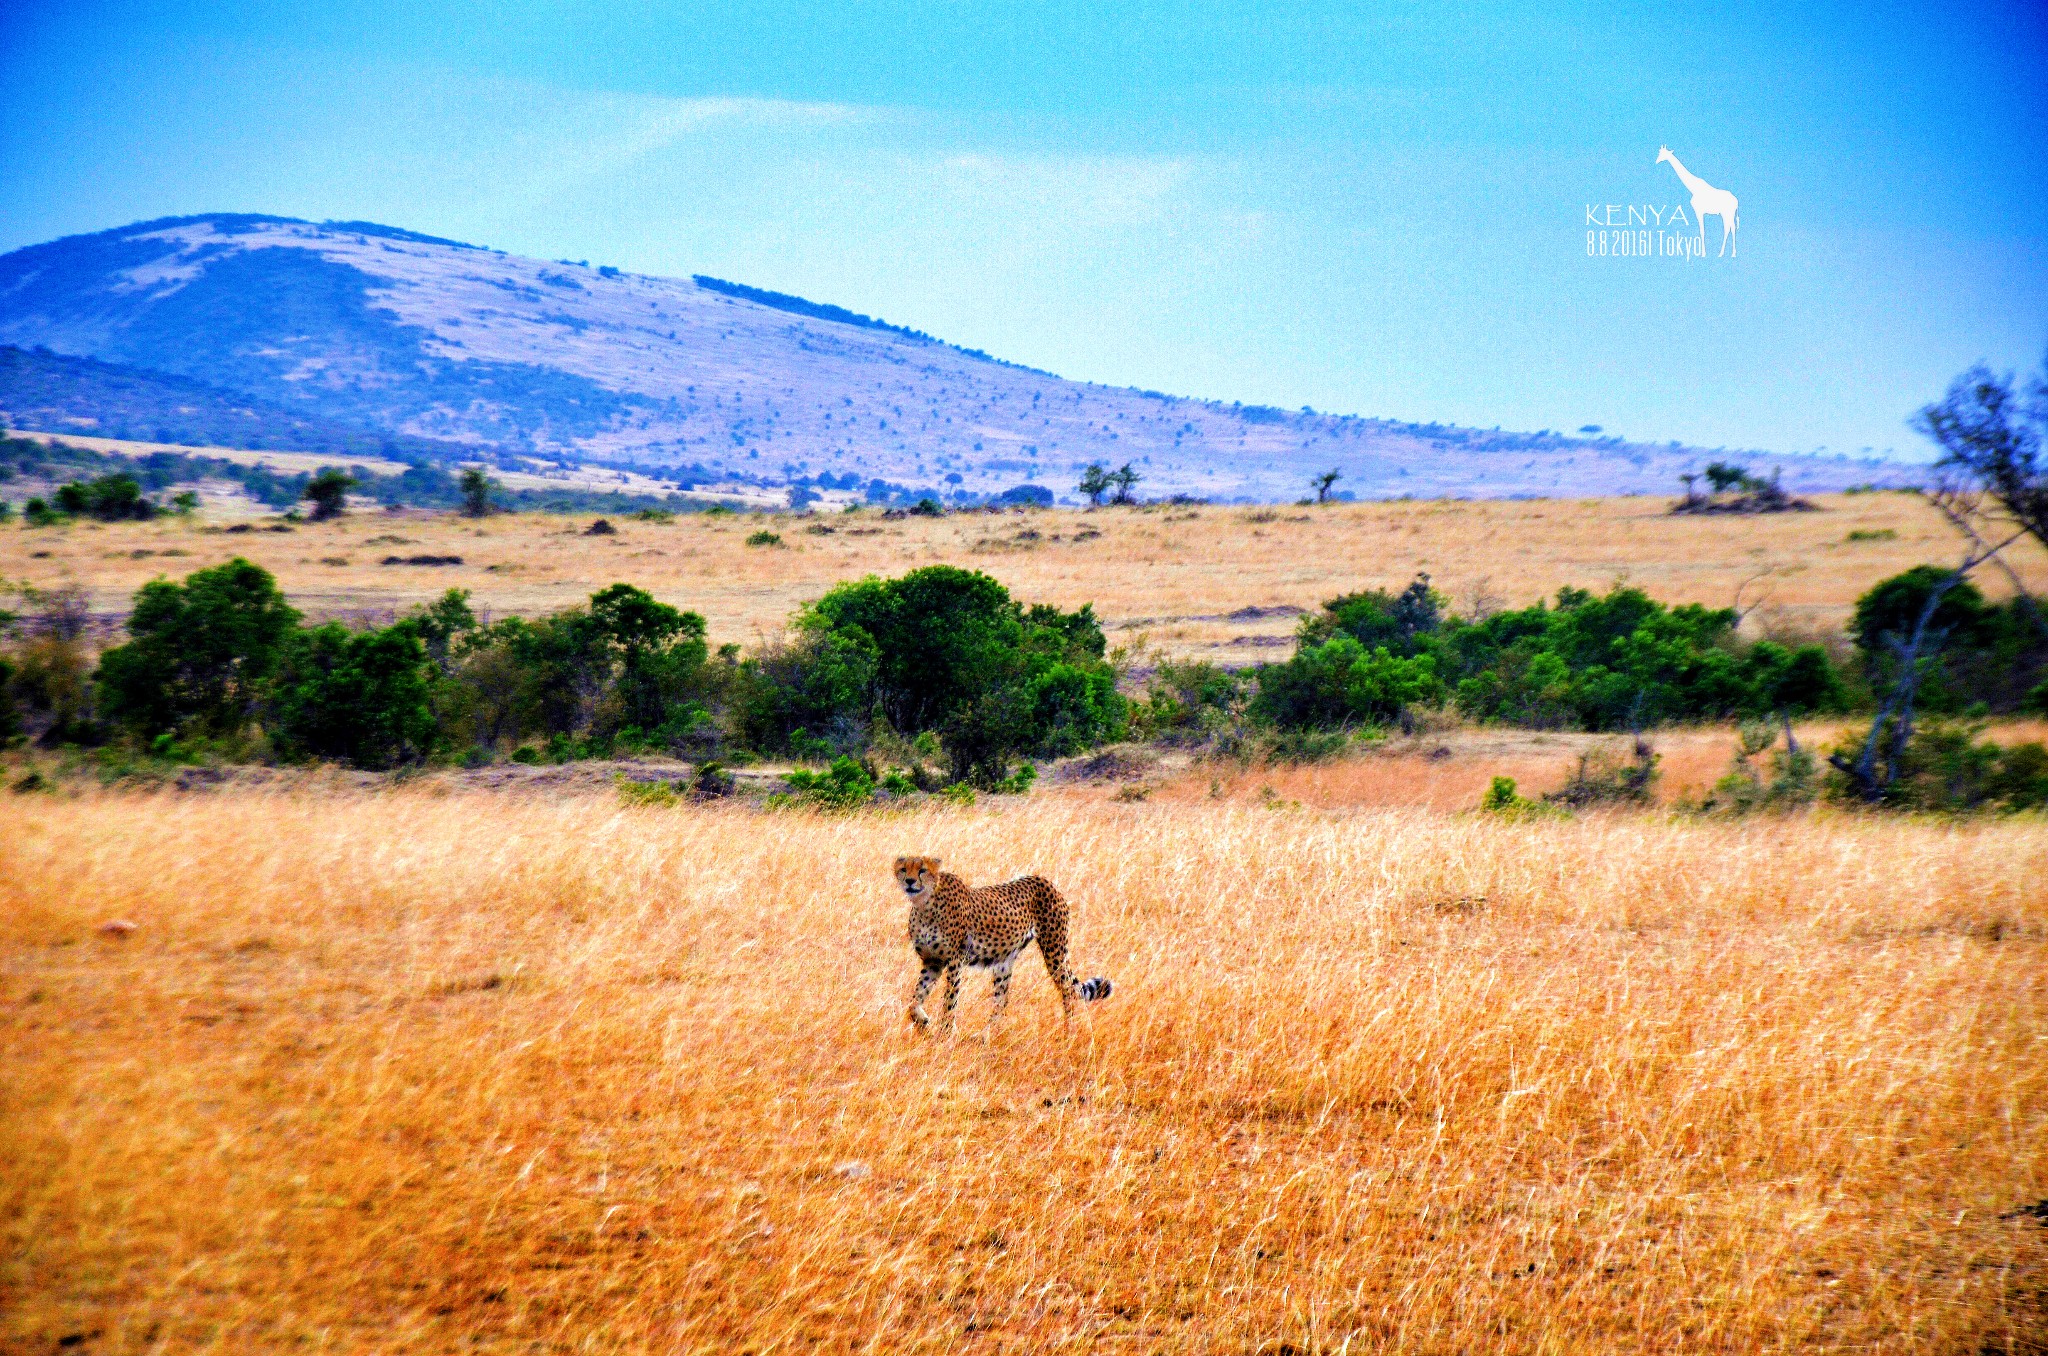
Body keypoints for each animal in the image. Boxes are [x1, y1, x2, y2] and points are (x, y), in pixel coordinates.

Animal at [901, 856, 1122, 1036]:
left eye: (922, 870)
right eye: (903, 869)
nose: (909, 882)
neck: (925, 905)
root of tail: (1043, 880)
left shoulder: (955, 960)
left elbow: (950, 999)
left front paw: (945, 1034)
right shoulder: (932, 961)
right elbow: (913, 1001)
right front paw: (924, 1023)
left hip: (1054, 950)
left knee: (1067, 990)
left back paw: (1070, 1032)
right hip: (1004, 961)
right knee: (1002, 1000)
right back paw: (986, 1036)